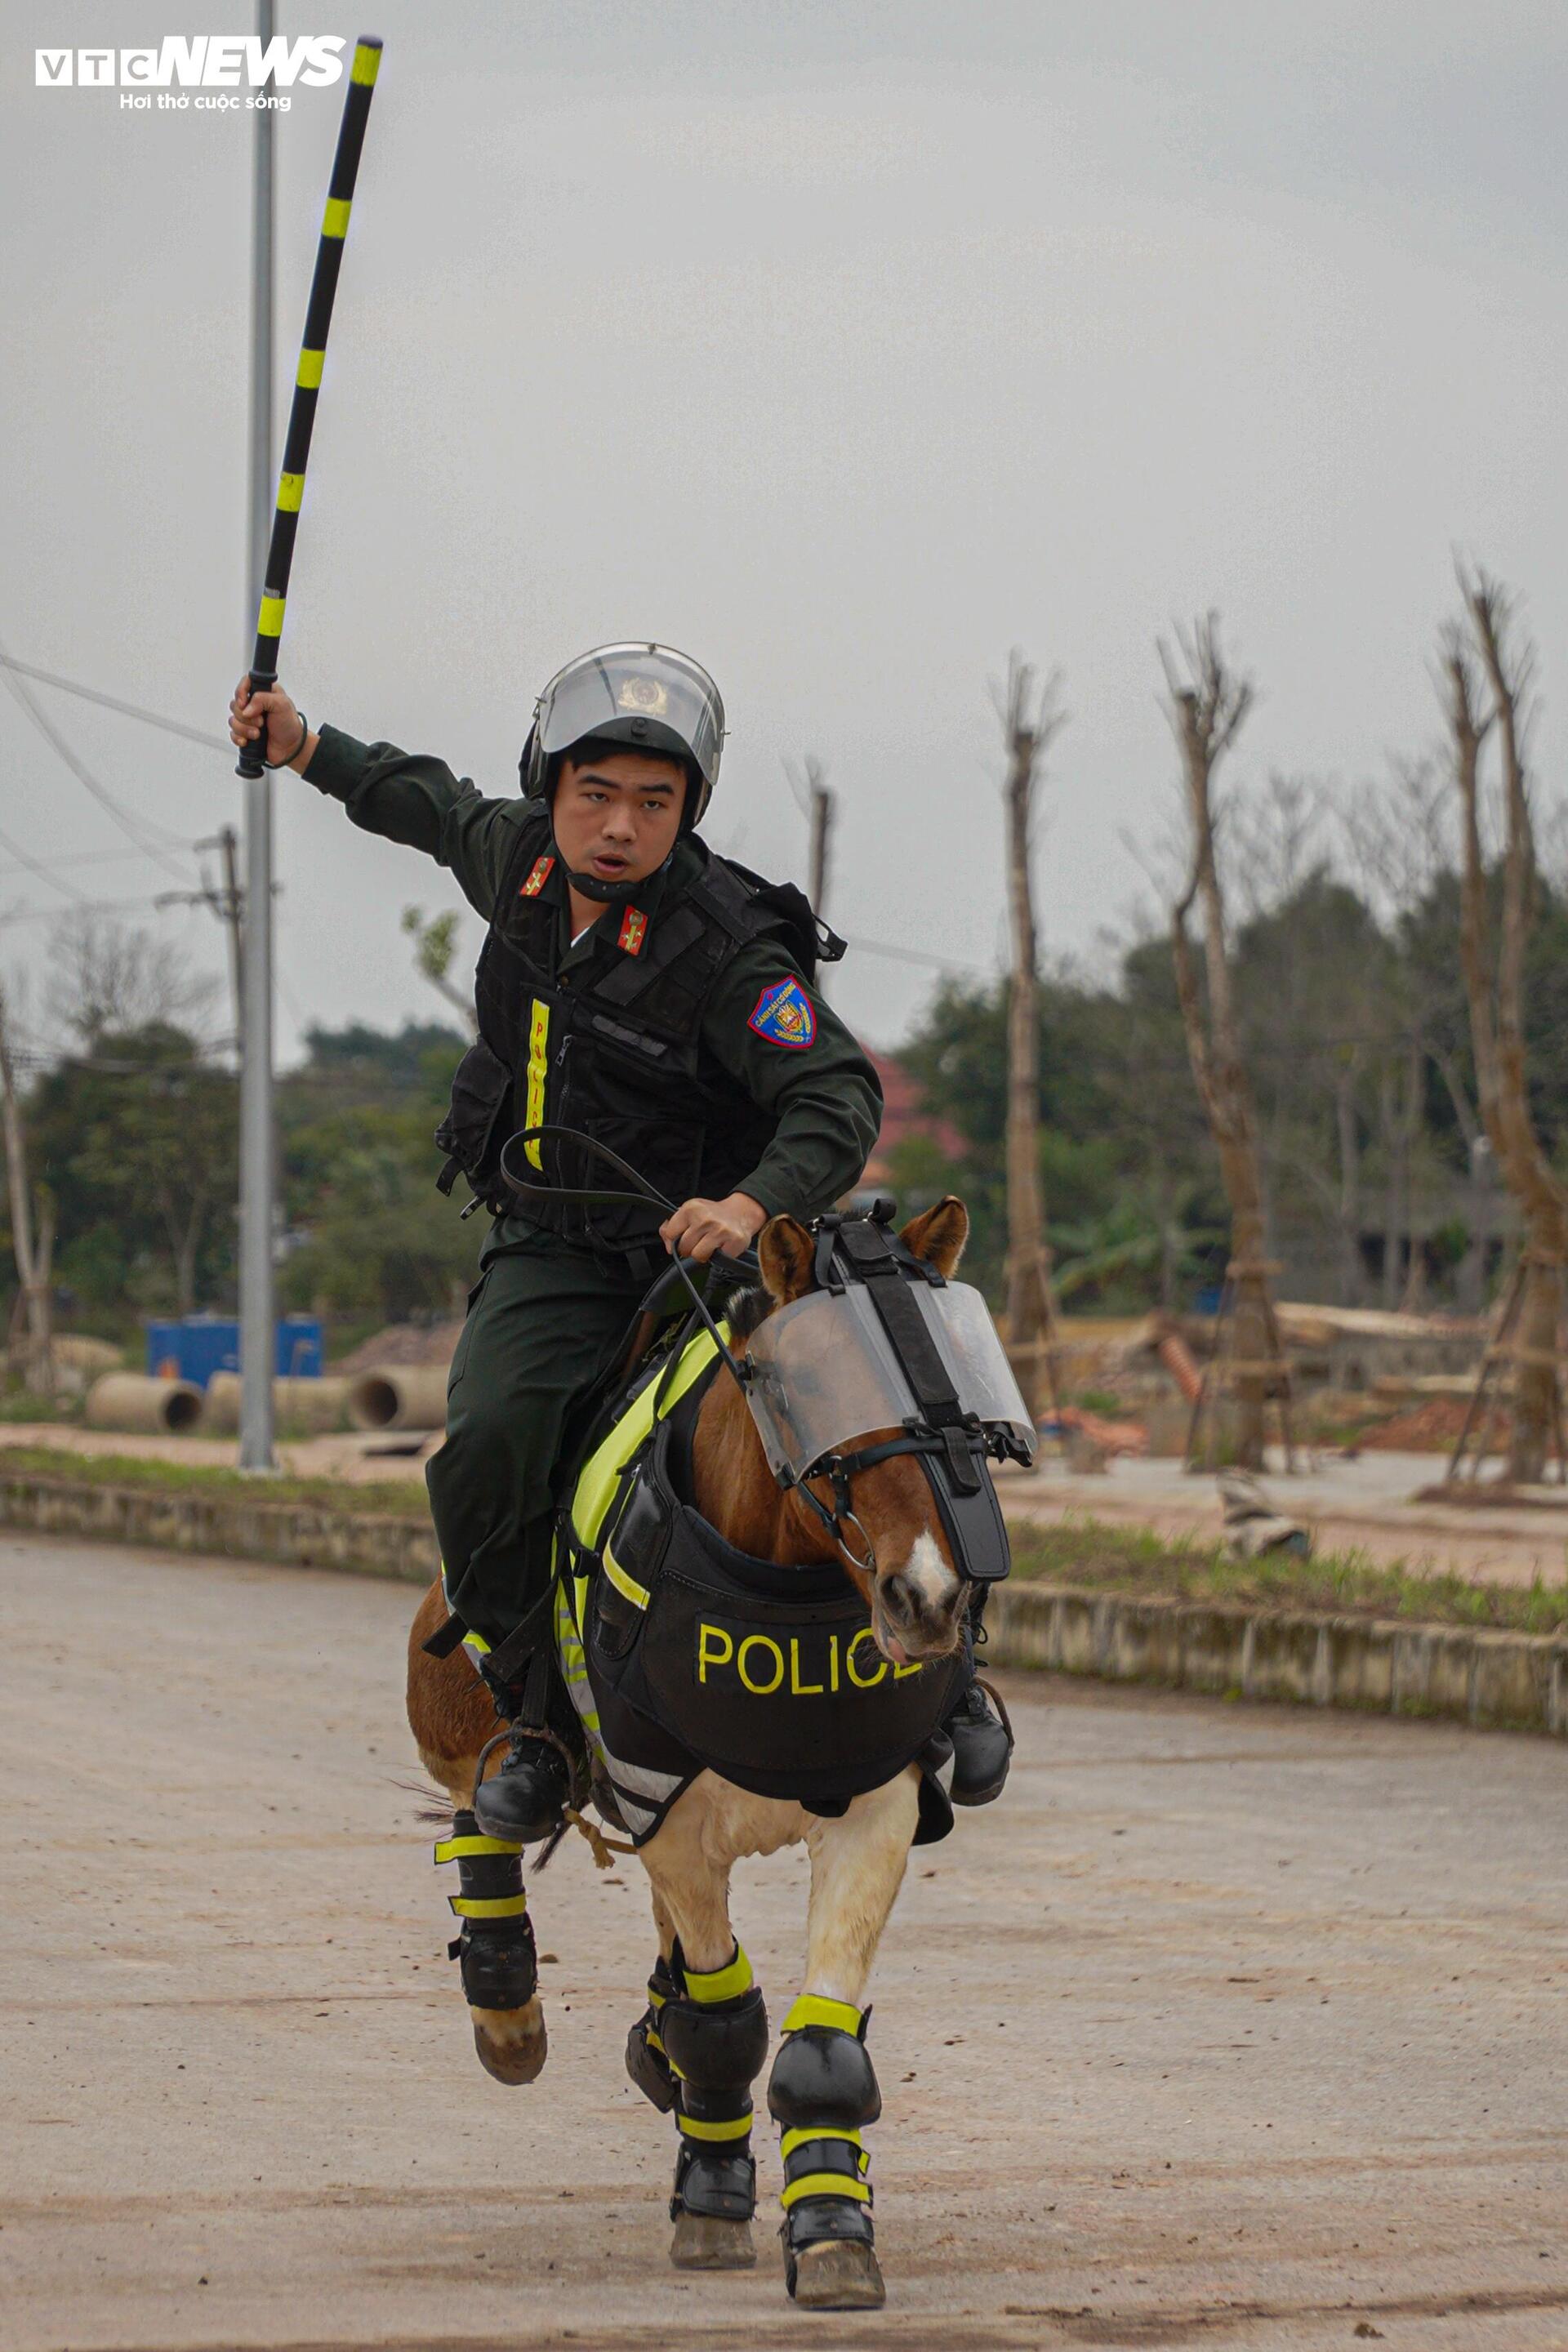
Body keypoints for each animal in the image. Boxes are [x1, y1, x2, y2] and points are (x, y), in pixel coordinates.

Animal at [411, 1204, 987, 2305]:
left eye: (962, 1403)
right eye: (808, 1397)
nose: (929, 1599)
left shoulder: (877, 1812)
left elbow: (818, 2041)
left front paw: (833, 2229)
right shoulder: (670, 1822)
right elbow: (725, 2024)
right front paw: (716, 2198)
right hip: (459, 1707)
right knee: (485, 1800)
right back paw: (505, 1985)